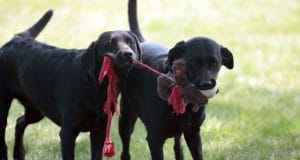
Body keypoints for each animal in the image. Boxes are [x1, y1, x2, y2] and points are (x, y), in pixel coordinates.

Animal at [0, 10, 142, 160]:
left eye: (131, 42)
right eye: (110, 43)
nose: (127, 54)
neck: (95, 87)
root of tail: (16, 39)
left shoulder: (99, 131)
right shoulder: (68, 132)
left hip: (36, 110)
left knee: (19, 122)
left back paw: (19, 153)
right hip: (5, 106)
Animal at [119, 0, 234, 159]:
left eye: (215, 63)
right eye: (192, 63)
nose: (206, 84)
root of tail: (142, 43)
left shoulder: (193, 133)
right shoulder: (155, 138)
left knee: (178, 146)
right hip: (126, 118)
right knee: (125, 149)